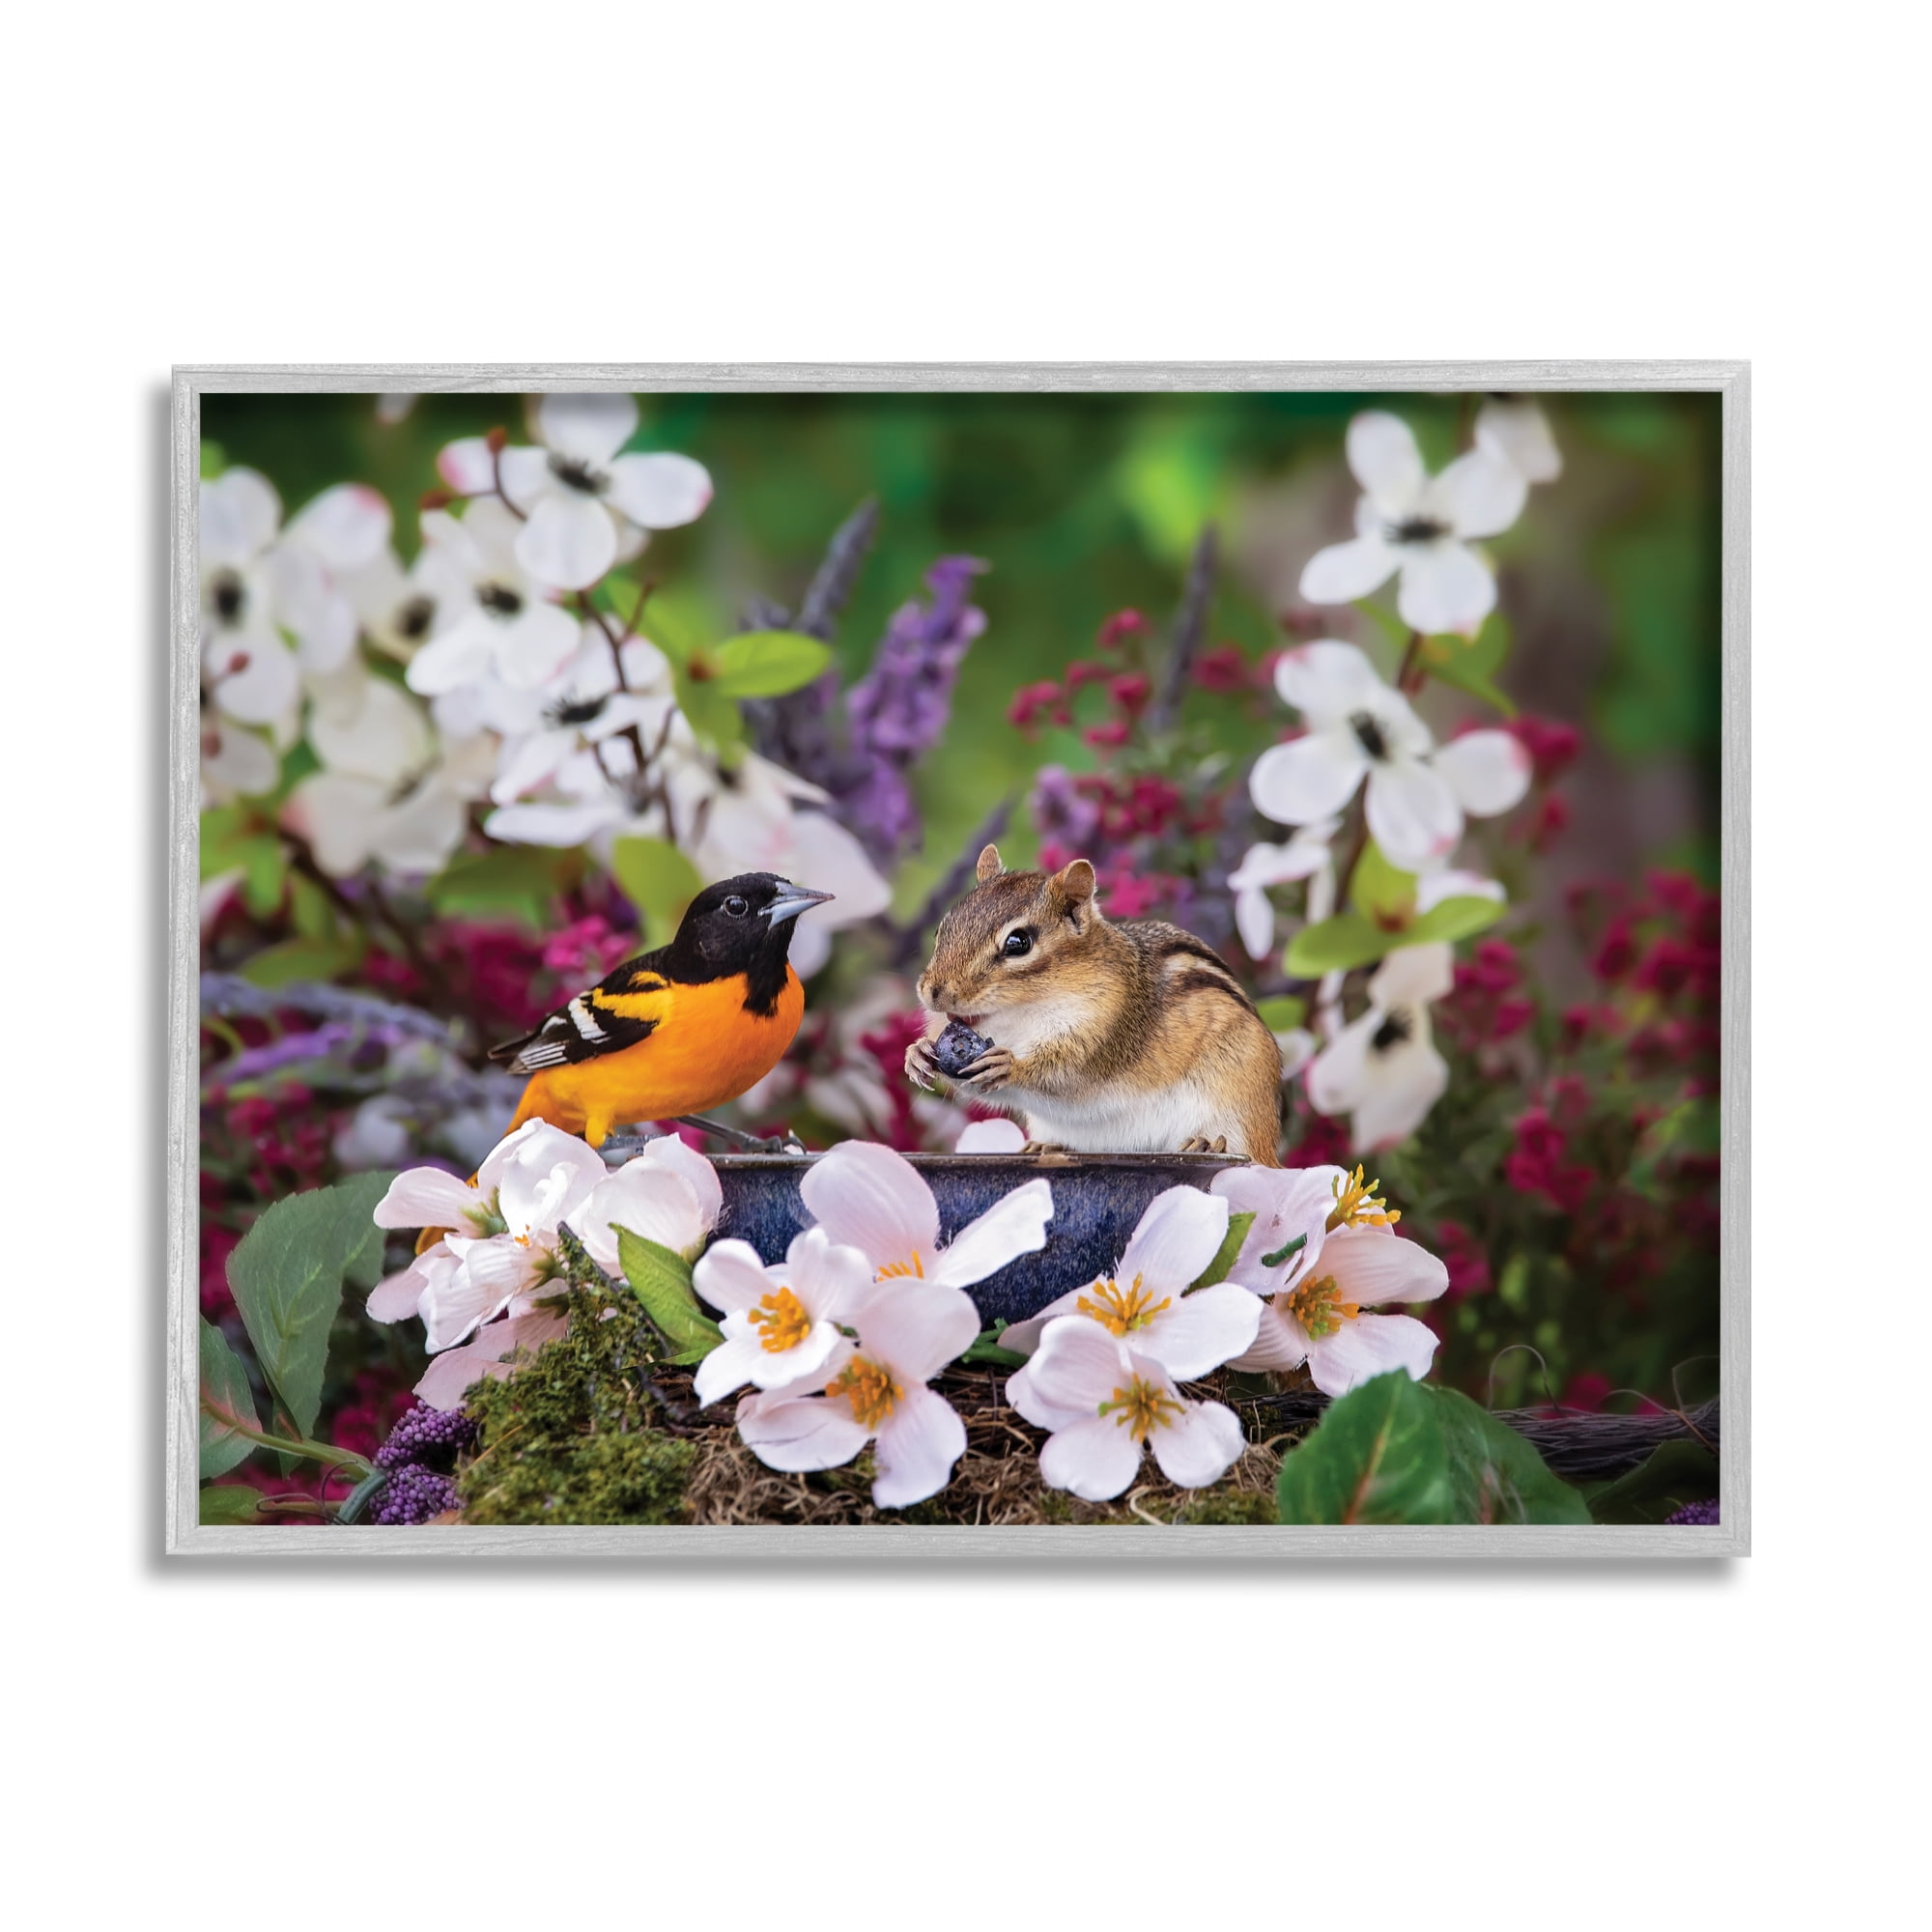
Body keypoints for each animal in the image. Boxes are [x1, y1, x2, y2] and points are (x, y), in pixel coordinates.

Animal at [905, 844, 1283, 1165]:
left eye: (1018, 943)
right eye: (941, 930)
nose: (933, 992)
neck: (1019, 1017)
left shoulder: (1105, 1033)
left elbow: (1060, 1072)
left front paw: (1009, 1065)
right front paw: (917, 1053)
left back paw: (1204, 1143)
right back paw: (1044, 1146)